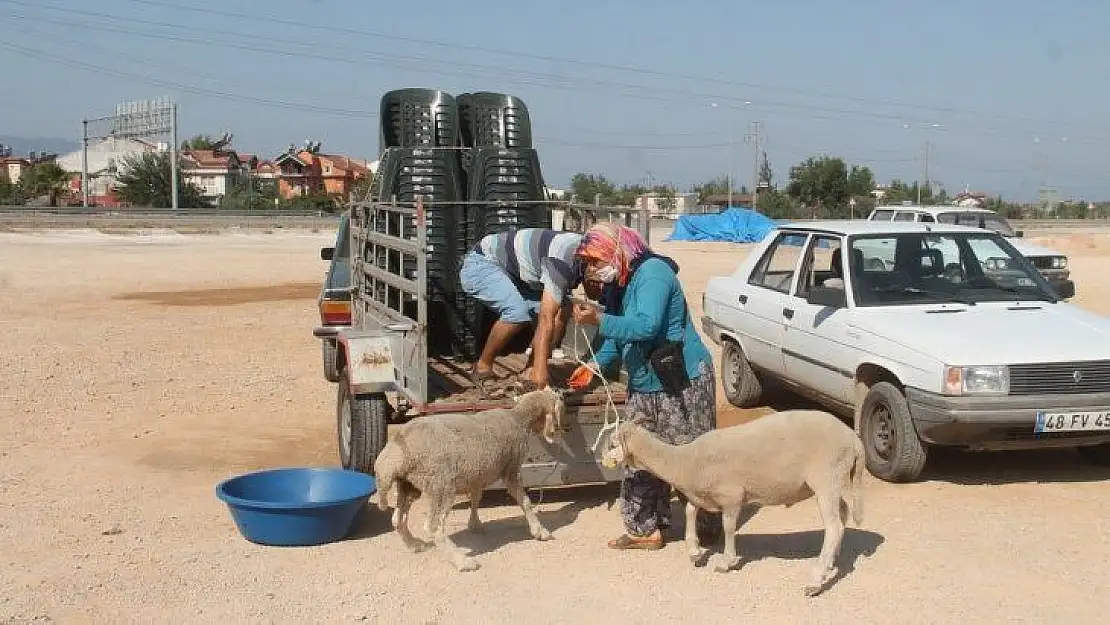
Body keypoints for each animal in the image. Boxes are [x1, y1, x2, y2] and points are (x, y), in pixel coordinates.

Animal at [375, 386, 568, 572]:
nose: (562, 430)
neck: (518, 418)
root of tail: (395, 453)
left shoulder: (476, 474)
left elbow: (476, 498)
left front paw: (474, 524)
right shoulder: (511, 470)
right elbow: (525, 501)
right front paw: (540, 531)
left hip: (408, 485)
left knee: (397, 519)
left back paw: (415, 544)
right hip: (441, 486)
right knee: (433, 527)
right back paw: (462, 561)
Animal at [599, 410, 865, 595]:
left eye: (612, 443)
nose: (601, 459)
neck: (685, 461)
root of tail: (853, 439)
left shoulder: (732, 495)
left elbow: (728, 527)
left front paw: (726, 562)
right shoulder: (703, 493)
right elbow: (690, 511)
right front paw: (694, 551)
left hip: (826, 476)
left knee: (833, 527)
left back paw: (815, 580)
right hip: (837, 479)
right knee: (842, 517)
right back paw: (830, 563)